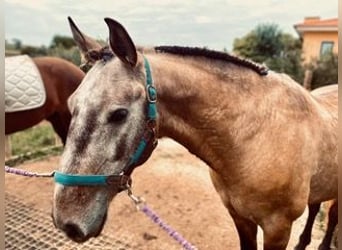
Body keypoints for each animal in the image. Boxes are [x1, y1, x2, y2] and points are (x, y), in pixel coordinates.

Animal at [52, 18, 338, 250]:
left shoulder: (277, 229)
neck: (255, 138)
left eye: (119, 114)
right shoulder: (240, 218)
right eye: (71, 104)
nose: (66, 221)